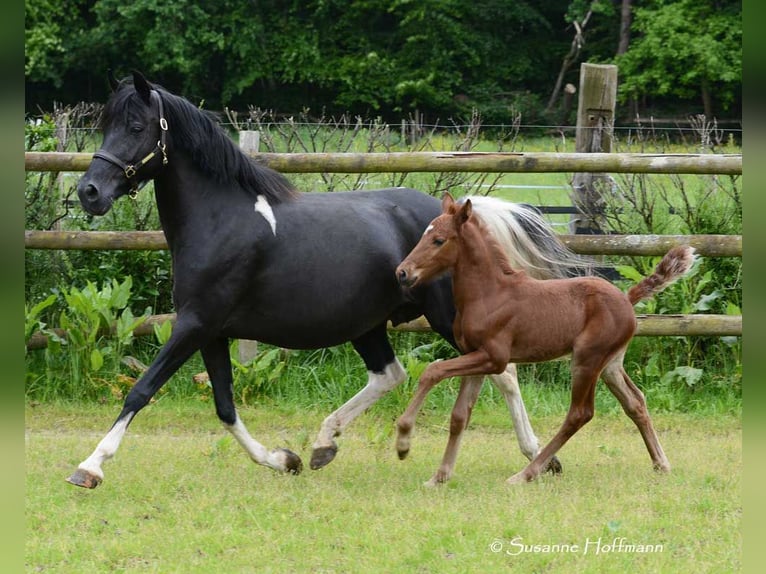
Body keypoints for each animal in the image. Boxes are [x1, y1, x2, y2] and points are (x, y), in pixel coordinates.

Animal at [70, 70, 584, 488]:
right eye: (106, 124)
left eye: (137, 127)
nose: (89, 192)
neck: (221, 219)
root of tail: (457, 216)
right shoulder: (211, 331)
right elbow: (225, 406)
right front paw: (285, 459)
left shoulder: (194, 324)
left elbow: (142, 389)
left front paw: (90, 467)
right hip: (368, 324)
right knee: (391, 374)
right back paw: (322, 445)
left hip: (445, 317)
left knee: (504, 372)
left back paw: (538, 458)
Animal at [396, 195, 696, 486]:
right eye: (424, 235)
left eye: (439, 240)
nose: (402, 272)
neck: (489, 294)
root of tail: (626, 298)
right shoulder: (475, 356)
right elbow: (460, 416)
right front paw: (439, 477)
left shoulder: (494, 358)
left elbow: (433, 371)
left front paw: (403, 442)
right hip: (610, 364)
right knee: (635, 402)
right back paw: (661, 463)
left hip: (587, 359)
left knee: (580, 413)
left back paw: (526, 473)